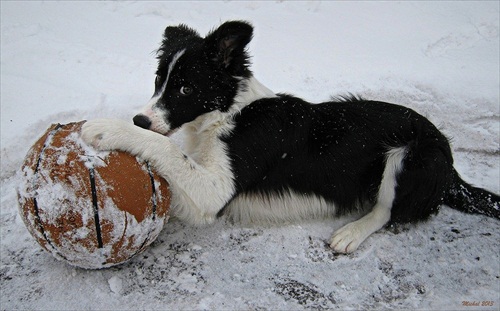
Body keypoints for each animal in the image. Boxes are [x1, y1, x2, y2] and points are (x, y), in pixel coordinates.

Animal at [80, 20, 498, 254]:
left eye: (185, 89)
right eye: (158, 80)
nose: (141, 118)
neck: (228, 112)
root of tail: (451, 164)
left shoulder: (215, 190)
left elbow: (165, 146)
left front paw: (107, 128)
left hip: (411, 155)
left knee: (386, 211)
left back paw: (352, 233)